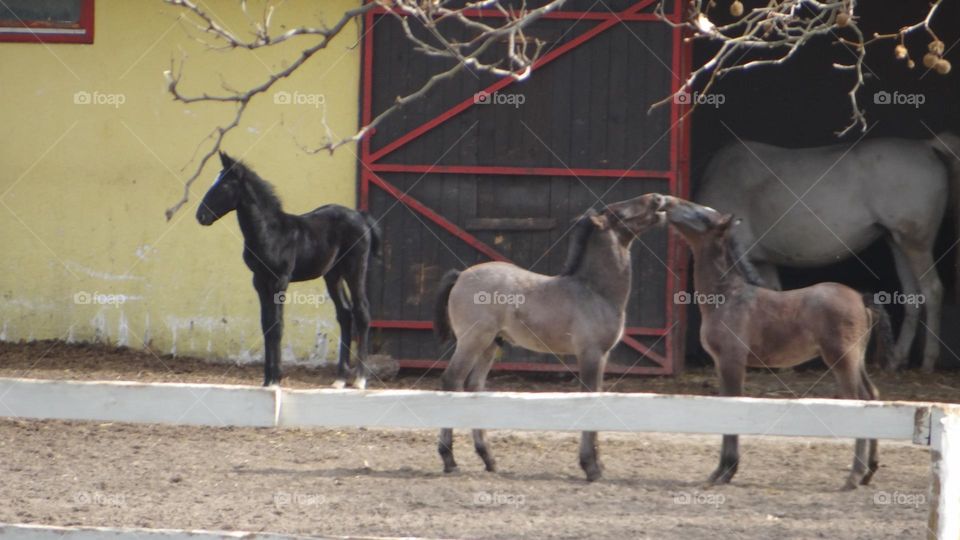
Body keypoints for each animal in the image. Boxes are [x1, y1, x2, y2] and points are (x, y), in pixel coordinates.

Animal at [197, 152, 380, 388]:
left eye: (225, 185)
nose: (200, 215)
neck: (270, 233)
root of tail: (361, 216)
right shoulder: (259, 281)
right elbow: (266, 325)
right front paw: (267, 381)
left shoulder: (279, 280)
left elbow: (277, 326)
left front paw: (276, 380)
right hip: (332, 275)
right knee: (345, 314)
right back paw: (339, 379)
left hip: (355, 268)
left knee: (362, 311)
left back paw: (360, 379)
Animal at [436, 194, 668, 480]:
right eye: (620, 212)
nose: (657, 198)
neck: (594, 291)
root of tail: (460, 276)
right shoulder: (590, 354)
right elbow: (588, 399)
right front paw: (590, 467)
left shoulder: (603, 356)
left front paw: (598, 465)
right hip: (472, 340)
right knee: (452, 380)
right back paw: (449, 459)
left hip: (490, 344)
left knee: (473, 386)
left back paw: (489, 459)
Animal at [660, 197, 892, 490]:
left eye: (700, 213)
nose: (666, 202)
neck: (728, 297)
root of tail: (861, 298)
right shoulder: (720, 363)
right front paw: (721, 472)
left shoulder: (732, 360)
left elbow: (733, 406)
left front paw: (725, 471)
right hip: (857, 358)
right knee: (872, 395)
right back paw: (870, 471)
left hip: (841, 358)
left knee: (858, 402)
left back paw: (853, 476)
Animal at [696, 134, 960, 372]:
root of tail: (926, 145)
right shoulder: (762, 262)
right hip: (898, 242)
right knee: (912, 295)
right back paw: (897, 360)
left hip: (916, 243)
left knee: (932, 290)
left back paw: (928, 362)